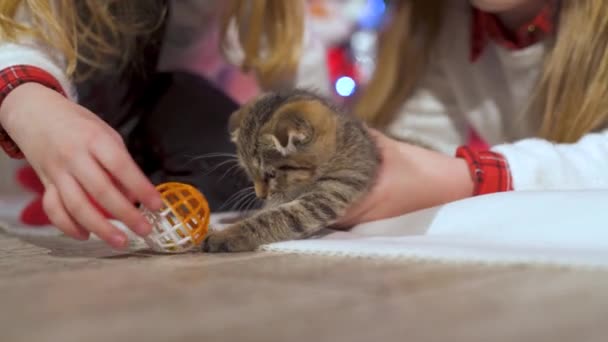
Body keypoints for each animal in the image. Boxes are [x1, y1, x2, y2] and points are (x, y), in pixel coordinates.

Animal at [201, 89, 380, 252]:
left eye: (271, 174)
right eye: (250, 174)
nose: (261, 196)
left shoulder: (331, 192)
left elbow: (274, 217)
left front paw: (226, 235)